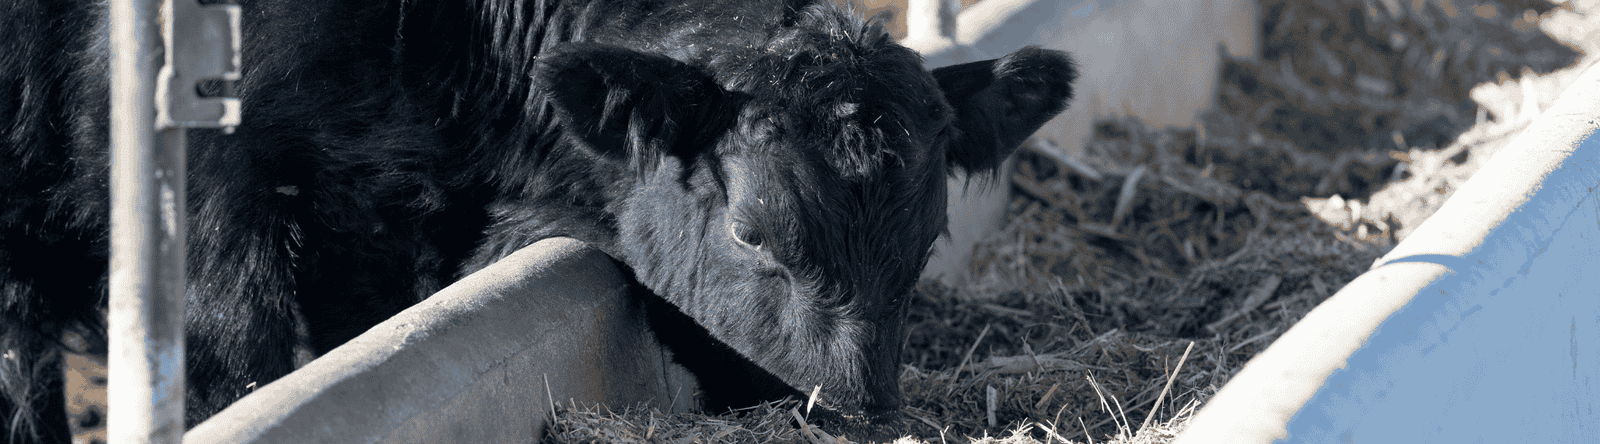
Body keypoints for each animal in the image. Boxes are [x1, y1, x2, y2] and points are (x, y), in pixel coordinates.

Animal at [0, 0, 1077, 441]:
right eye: (749, 233)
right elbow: (242, 366)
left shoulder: (382, 224)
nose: (853, 414)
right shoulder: (217, 192)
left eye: (927, 239)